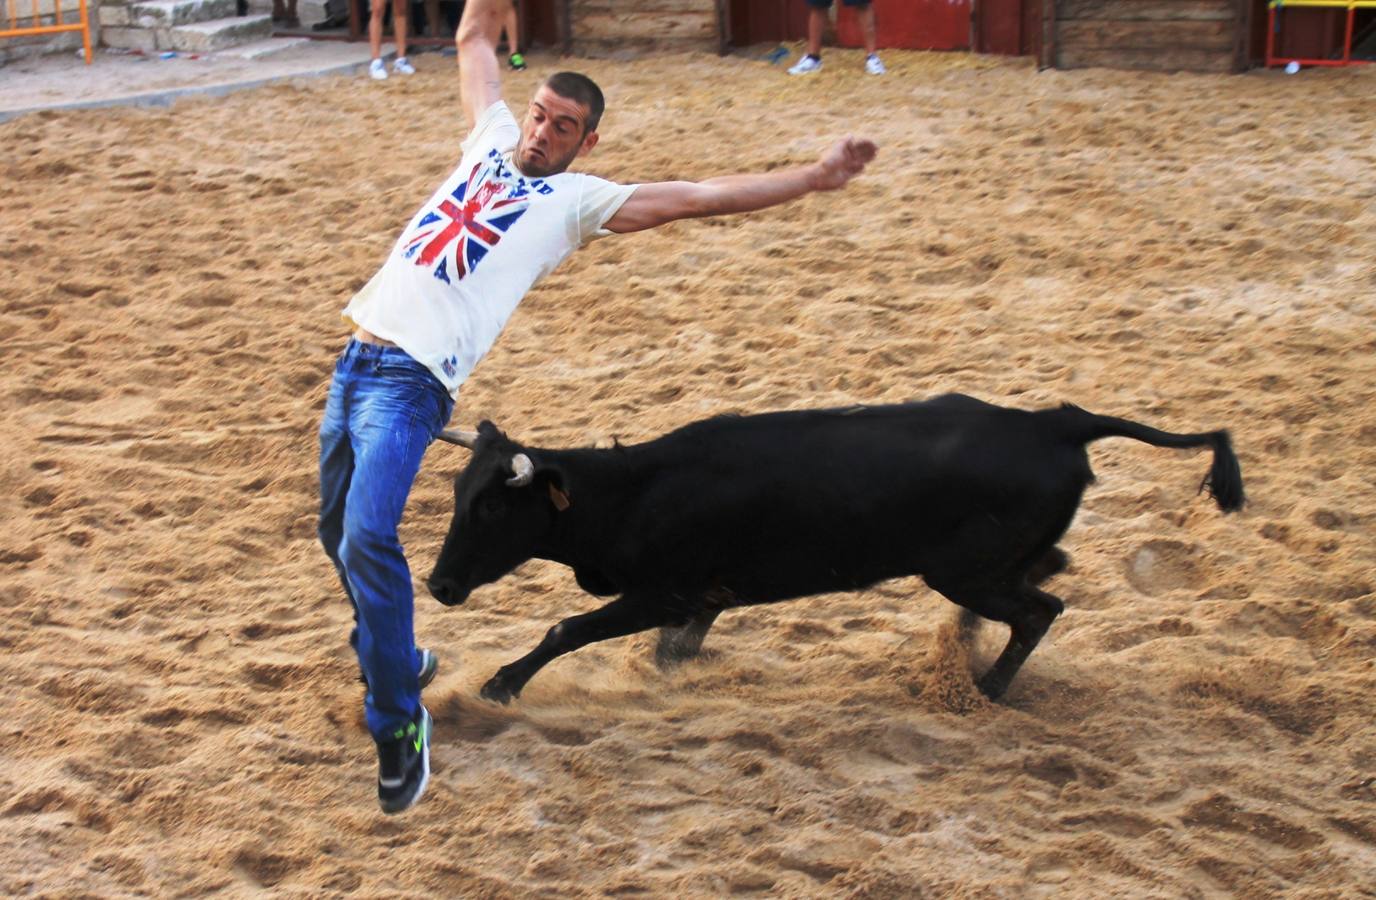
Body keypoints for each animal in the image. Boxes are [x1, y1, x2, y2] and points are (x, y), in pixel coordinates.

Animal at [423, 399, 1243, 710]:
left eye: (492, 506)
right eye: (458, 493)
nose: (439, 585)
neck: (633, 491)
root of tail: (1057, 422)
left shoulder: (664, 591)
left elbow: (568, 628)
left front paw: (499, 685)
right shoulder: (701, 598)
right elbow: (673, 649)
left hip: (966, 572)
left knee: (1041, 609)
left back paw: (983, 689)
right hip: (987, 568)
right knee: (1046, 581)